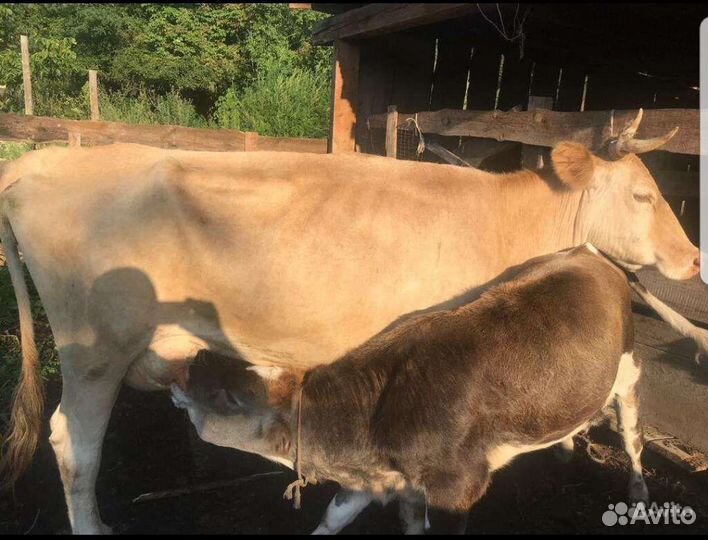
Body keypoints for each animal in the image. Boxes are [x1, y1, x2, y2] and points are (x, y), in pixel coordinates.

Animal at [169, 244, 648, 535]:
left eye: (231, 398)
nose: (192, 361)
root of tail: (586, 251)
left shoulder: (458, 488)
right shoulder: (379, 480)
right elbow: (332, 518)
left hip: (628, 372)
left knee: (632, 435)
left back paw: (639, 490)